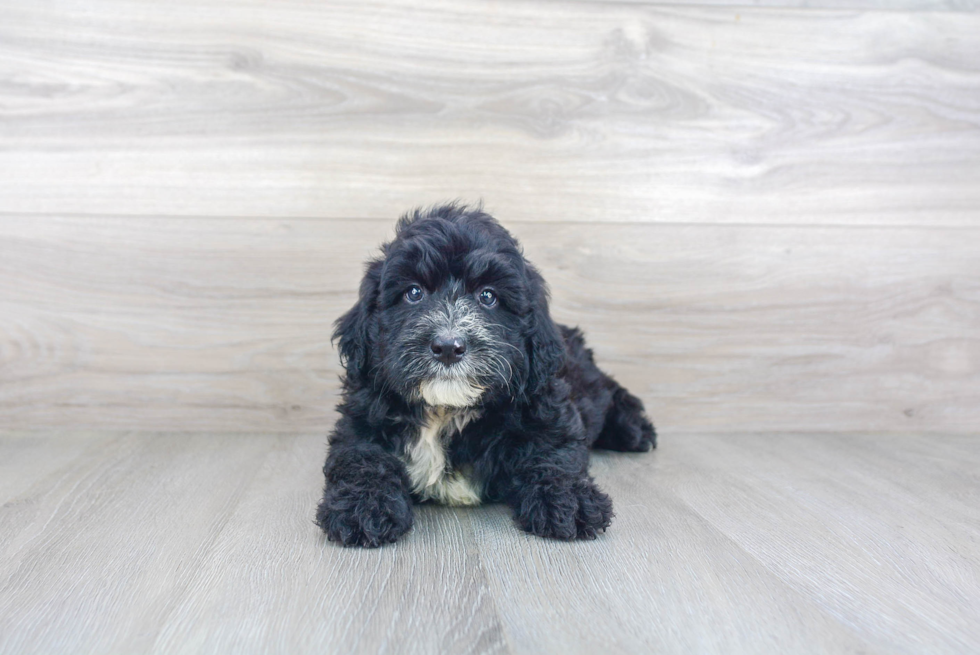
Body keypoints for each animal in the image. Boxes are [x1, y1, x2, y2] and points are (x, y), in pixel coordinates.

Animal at [318, 205, 656, 548]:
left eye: (488, 296)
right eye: (413, 293)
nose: (448, 347)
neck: (446, 409)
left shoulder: (544, 404)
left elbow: (554, 452)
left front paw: (569, 500)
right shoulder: (362, 418)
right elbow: (361, 458)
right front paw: (362, 506)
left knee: (609, 390)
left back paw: (634, 429)